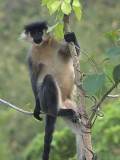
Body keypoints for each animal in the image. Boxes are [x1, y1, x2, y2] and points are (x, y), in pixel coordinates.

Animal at [19, 21, 81, 160]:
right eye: (33, 33)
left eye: (39, 32)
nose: (37, 37)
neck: (43, 46)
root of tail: (61, 102)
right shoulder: (31, 57)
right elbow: (34, 78)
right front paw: (36, 108)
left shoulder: (57, 41)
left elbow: (75, 54)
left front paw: (72, 37)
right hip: (46, 100)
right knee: (48, 79)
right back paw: (57, 112)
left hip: (70, 104)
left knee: (81, 129)